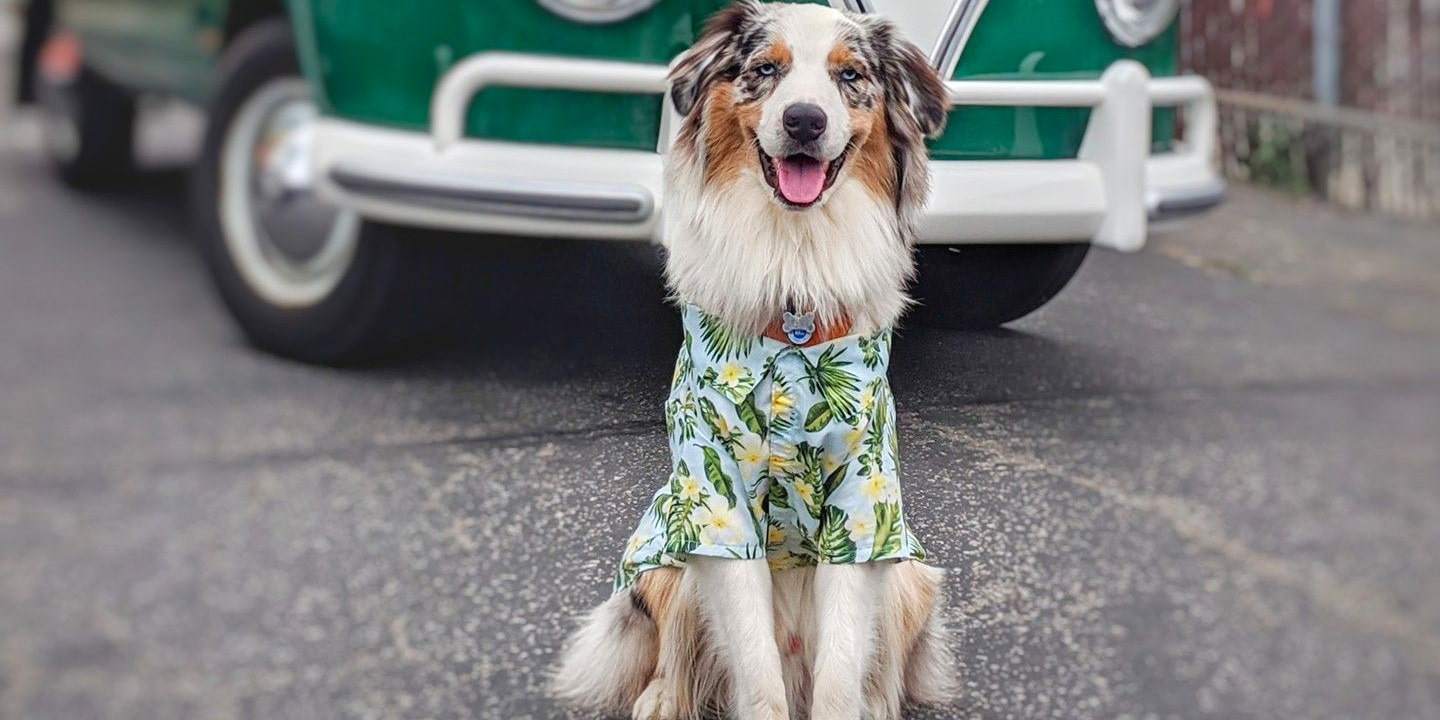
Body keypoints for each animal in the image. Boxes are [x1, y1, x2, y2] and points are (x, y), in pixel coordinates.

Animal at [550, 2, 956, 717]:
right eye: (766, 70)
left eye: (849, 76)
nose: (804, 120)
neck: (793, 266)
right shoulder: (715, 500)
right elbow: (754, 670)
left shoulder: (864, 505)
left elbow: (842, 667)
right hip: (664, 558)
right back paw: (660, 698)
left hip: (911, 575)